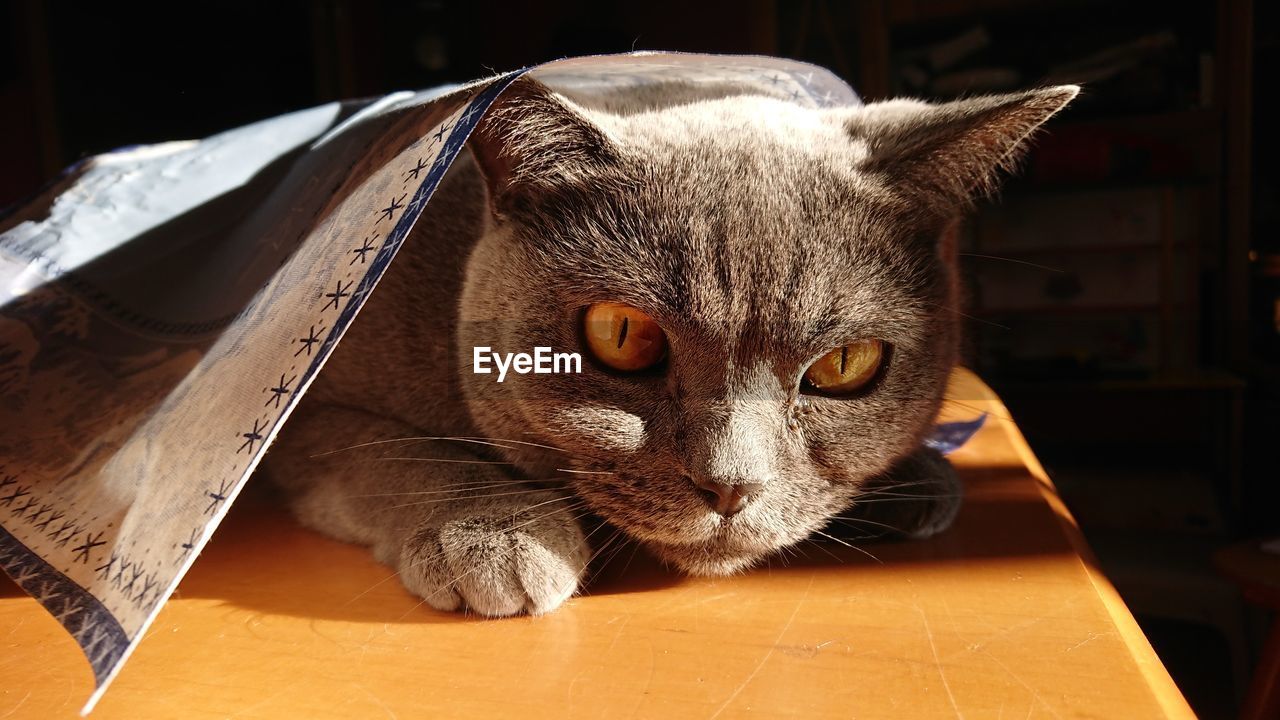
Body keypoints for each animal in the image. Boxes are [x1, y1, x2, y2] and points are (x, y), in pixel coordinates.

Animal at [264, 75, 1075, 614]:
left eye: (845, 366)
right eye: (622, 335)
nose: (732, 486)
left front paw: (919, 479)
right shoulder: (304, 412)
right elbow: (400, 451)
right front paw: (495, 534)